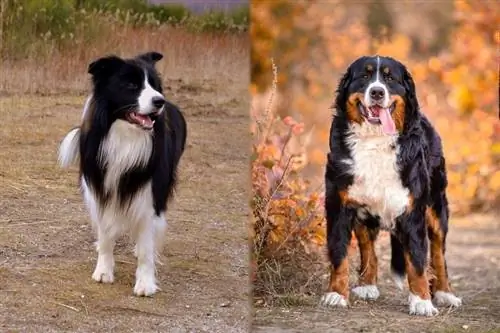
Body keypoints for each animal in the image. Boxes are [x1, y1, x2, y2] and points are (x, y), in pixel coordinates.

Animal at [58, 50, 187, 294]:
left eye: (155, 85)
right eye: (131, 85)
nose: (160, 101)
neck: (125, 138)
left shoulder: (150, 194)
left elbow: (146, 246)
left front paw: (145, 283)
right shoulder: (100, 187)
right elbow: (106, 234)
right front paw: (103, 271)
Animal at [322, 55, 462, 316]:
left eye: (390, 79)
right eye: (365, 76)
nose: (377, 92)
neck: (375, 140)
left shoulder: (412, 211)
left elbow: (417, 261)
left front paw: (422, 301)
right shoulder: (339, 205)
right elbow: (339, 254)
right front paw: (336, 294)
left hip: (437, 208)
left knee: (439, 255)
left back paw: (445, 293)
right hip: (364, 213)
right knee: (368, 249)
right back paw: (367, 285)